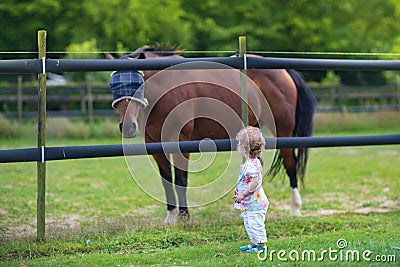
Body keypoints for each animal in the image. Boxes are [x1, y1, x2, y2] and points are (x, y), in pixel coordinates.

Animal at [106, 45, 316, 224]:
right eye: (113, 87)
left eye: (138, 85)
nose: (128, 126)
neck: (166, 88)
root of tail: (283, 71)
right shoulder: (155, 145)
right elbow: (167, 181)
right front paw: (171, 218)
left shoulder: (181, 142)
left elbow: (181, 179)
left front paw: (184, 216)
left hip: (283, 131)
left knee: (290, 164)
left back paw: (295, 209)